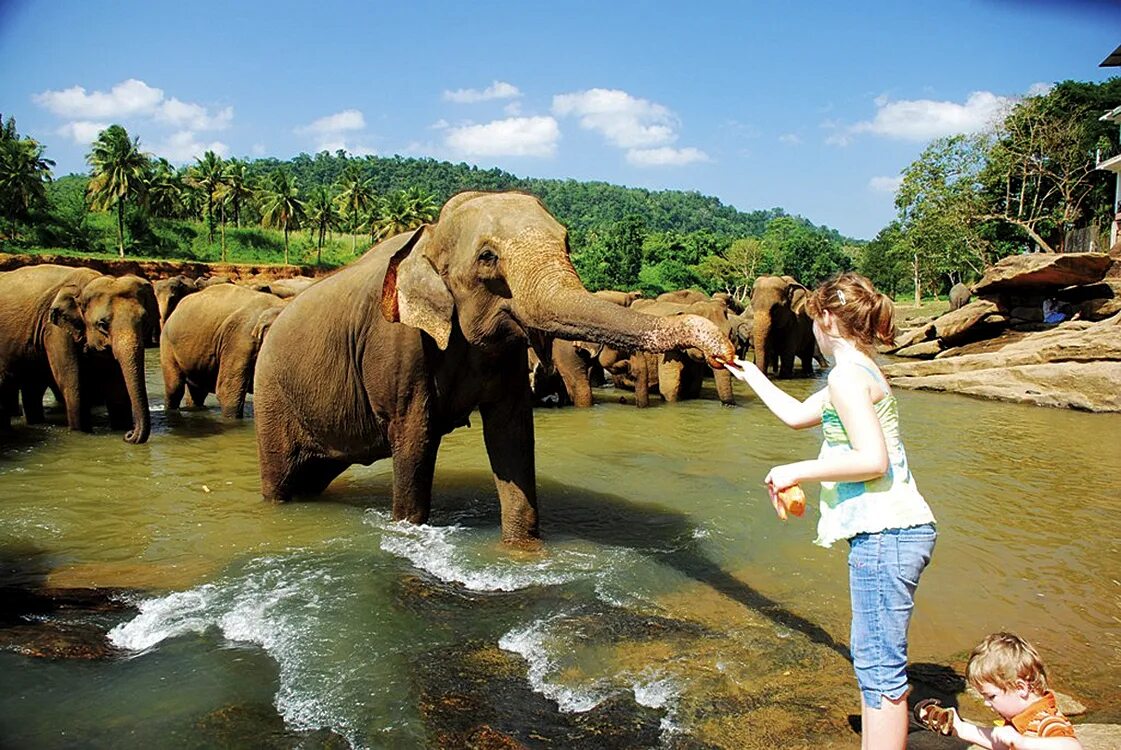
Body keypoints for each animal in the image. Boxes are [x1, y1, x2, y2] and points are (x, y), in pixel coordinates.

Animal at [0, 264, 158, 441]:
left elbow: (116, 386)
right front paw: (82, 434)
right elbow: (72, 383)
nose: (129, 434)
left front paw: (119, 429)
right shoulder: (55, 330)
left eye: (144, 321)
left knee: (33, 387)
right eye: (102, 324)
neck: (89, 282)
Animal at [252, 191, 735, 544]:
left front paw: (522, 550)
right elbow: (414, 439)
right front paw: (408, 531)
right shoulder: (397, 345)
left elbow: (512, 435)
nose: (725, 349)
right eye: (487, 257)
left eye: (567, 243)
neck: (429, 233)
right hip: (273, 399)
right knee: (281, 482)